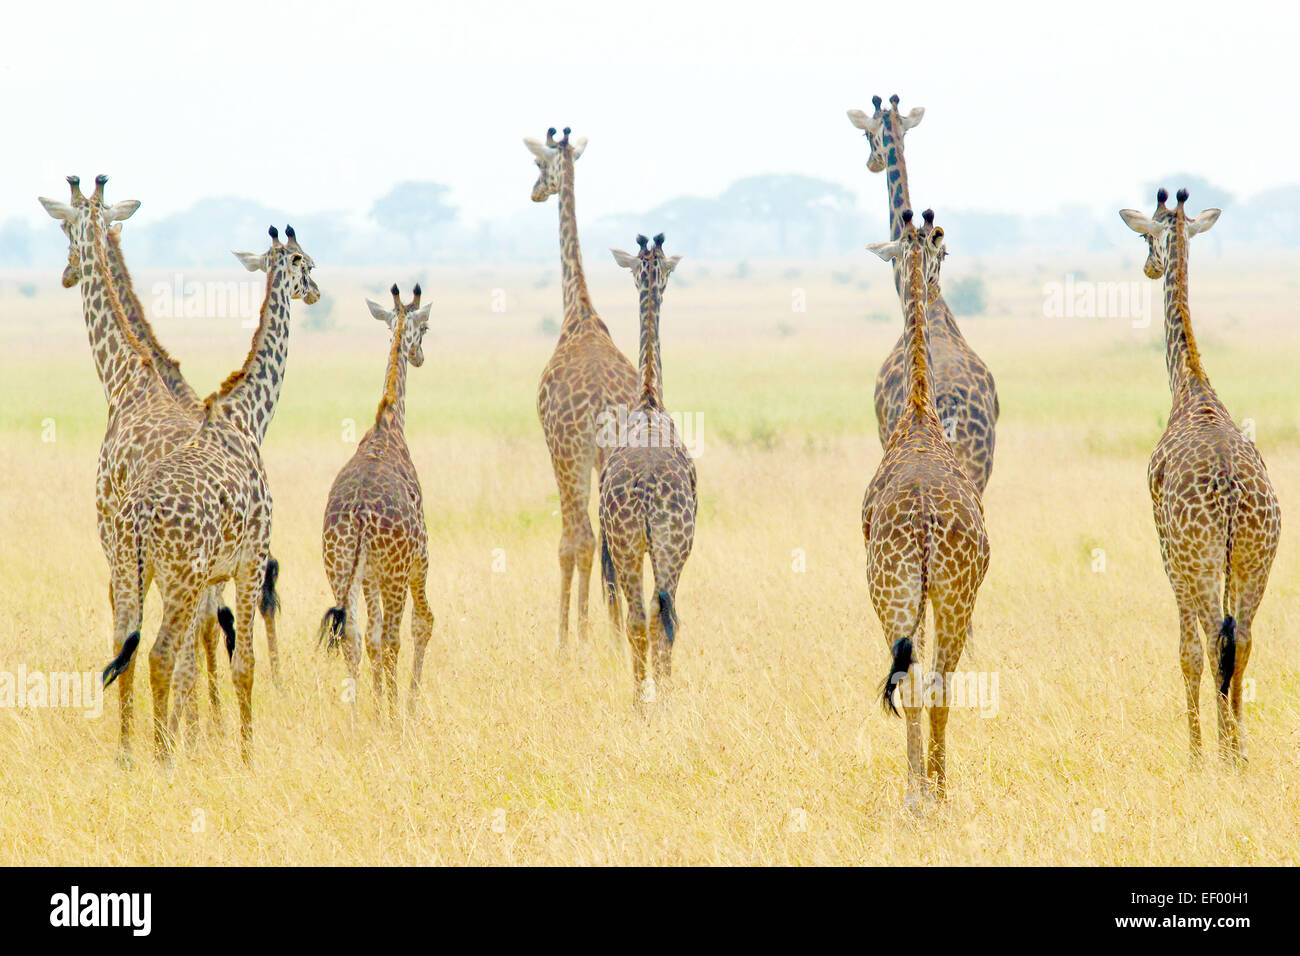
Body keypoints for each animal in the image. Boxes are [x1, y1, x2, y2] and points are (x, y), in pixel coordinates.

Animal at [101, 225, 318, 764]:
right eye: (305, 262)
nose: (316, 291)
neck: (249, 419)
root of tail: (139, 515)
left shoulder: (215, 574)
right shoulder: (251, 560)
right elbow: (244, 662)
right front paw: (246, 756)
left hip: (130, 570)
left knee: (124, 646)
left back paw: (130, 756)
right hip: (177, 576)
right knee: (158, 653)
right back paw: (162, 761)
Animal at [319, 284, 434, 718]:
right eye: (427, 326)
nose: (419, 356)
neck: (388, 424)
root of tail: (357, 517)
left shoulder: (367, 574)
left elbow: (370, 638)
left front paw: (380, 703)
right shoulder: (417, 559)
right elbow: (415, 626)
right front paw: (403, 705)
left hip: (338, 570)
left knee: (352, 639)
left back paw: (355, 717)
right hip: (396, 571)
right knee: (394, 636)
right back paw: (392, 712)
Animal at [1120, 188, 1279, 766]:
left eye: (1146, 235)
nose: (1148, 265)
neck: (1190, 386)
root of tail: (1232, 499)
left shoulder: (1169, 555)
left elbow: (1186, 651)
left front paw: (1194, 754)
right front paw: (1223, 746)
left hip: (1202, 560)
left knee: (1214, 640)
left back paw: (1220, 753)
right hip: (1255, 559)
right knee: (1244, 639)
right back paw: (1240, 751)